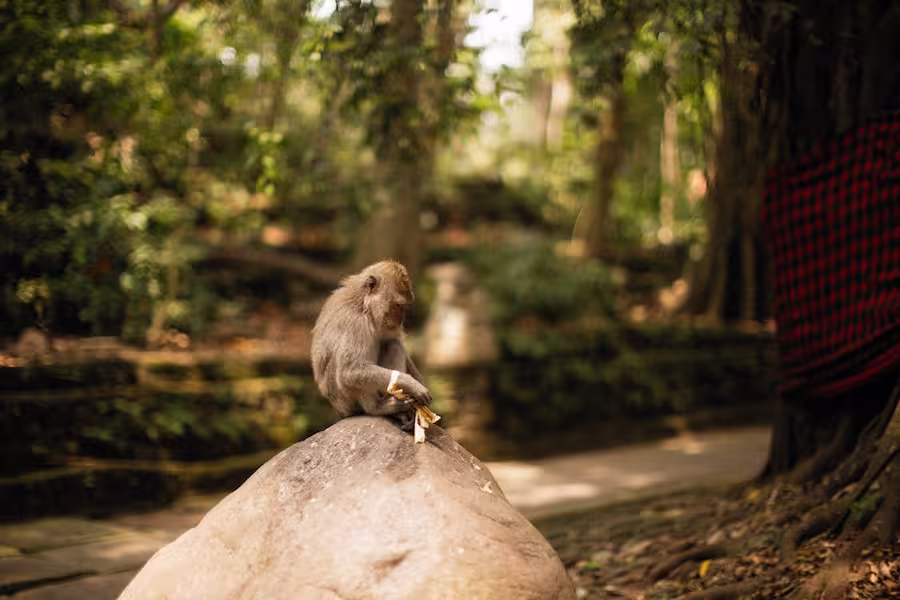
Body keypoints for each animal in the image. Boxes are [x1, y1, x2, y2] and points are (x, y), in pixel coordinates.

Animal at [311, 260, 432, 431]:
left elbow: (392, 339)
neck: (363, 304)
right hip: (347, 402)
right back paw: (378, 408)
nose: (401, 320)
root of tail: (341, 411)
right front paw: (410, 383)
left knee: (392, 343)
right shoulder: (356, 323)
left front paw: (418, 380)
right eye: (398, 306)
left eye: (405, 307)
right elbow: (350, 371)